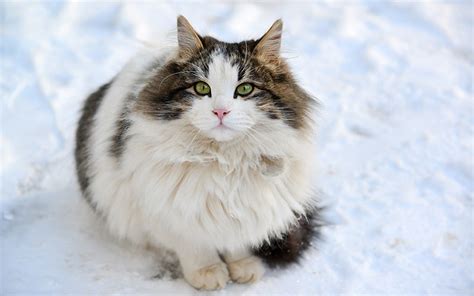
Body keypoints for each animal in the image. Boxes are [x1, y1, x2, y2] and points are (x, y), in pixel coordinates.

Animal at [76, 15, 322, 290]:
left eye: (245, 89)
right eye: (202, 88)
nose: (221, 111)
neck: (225, 161)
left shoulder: (247, 209)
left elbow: (237, 242)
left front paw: (243, 266)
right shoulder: (166, 210)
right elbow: (193, 245)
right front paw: (208, 273)